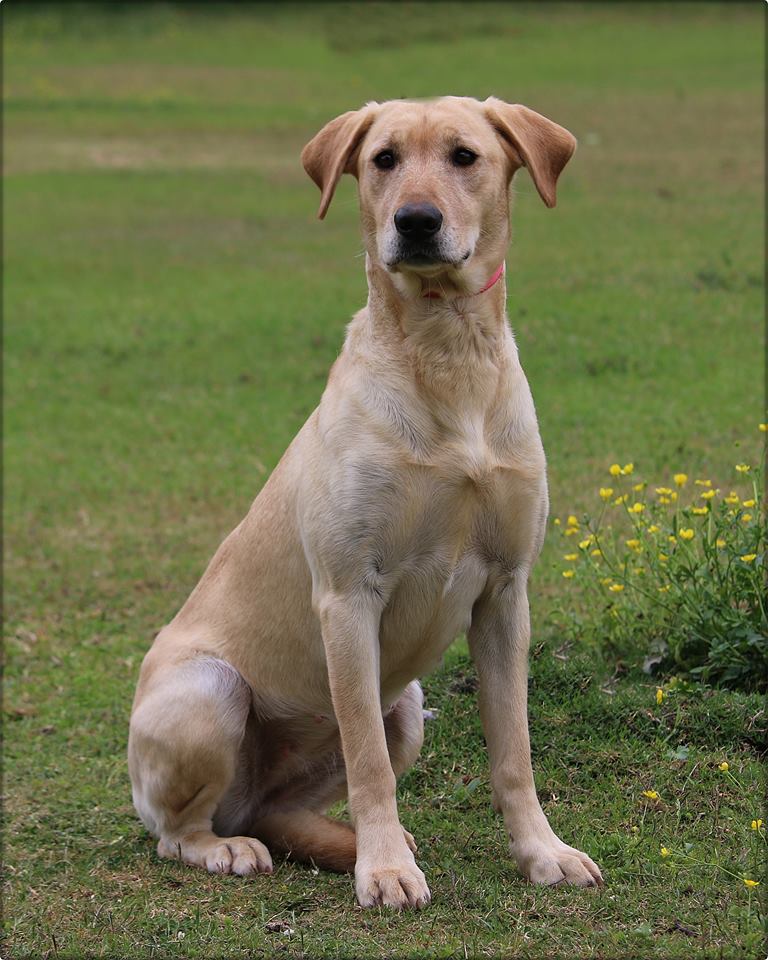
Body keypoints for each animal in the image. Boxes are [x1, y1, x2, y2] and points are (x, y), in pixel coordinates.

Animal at [129, 95, 604, 908]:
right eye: (383, 159)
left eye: (464, 156)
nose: (415, 221)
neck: (447, 352)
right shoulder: (350, 595)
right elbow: (369, 764)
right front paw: (383, 872)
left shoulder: (506, 593)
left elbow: (514, 752)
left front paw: (543, 853)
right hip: (209, 690)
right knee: (178, 831)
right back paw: (239, 849)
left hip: (408, 703)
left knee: (282, 810)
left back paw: (348, 843)